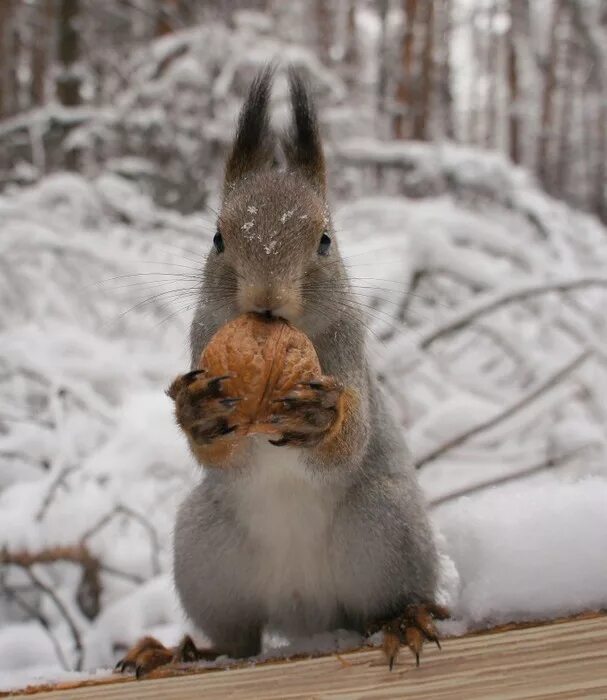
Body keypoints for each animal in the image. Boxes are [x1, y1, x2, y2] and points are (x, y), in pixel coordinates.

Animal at [115, 65, 446, 680]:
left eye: (326, 241)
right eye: (217, 238)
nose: (266, 298)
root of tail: (306, 613)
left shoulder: (348, 354)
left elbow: (350, 441)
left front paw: (321, 417)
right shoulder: (203, 344)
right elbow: (221, 452)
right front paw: (196, 411)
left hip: (388, 529)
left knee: (381, 604)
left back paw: (403, 621)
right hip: (206, 554)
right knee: (240, 641)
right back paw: (181, 651)